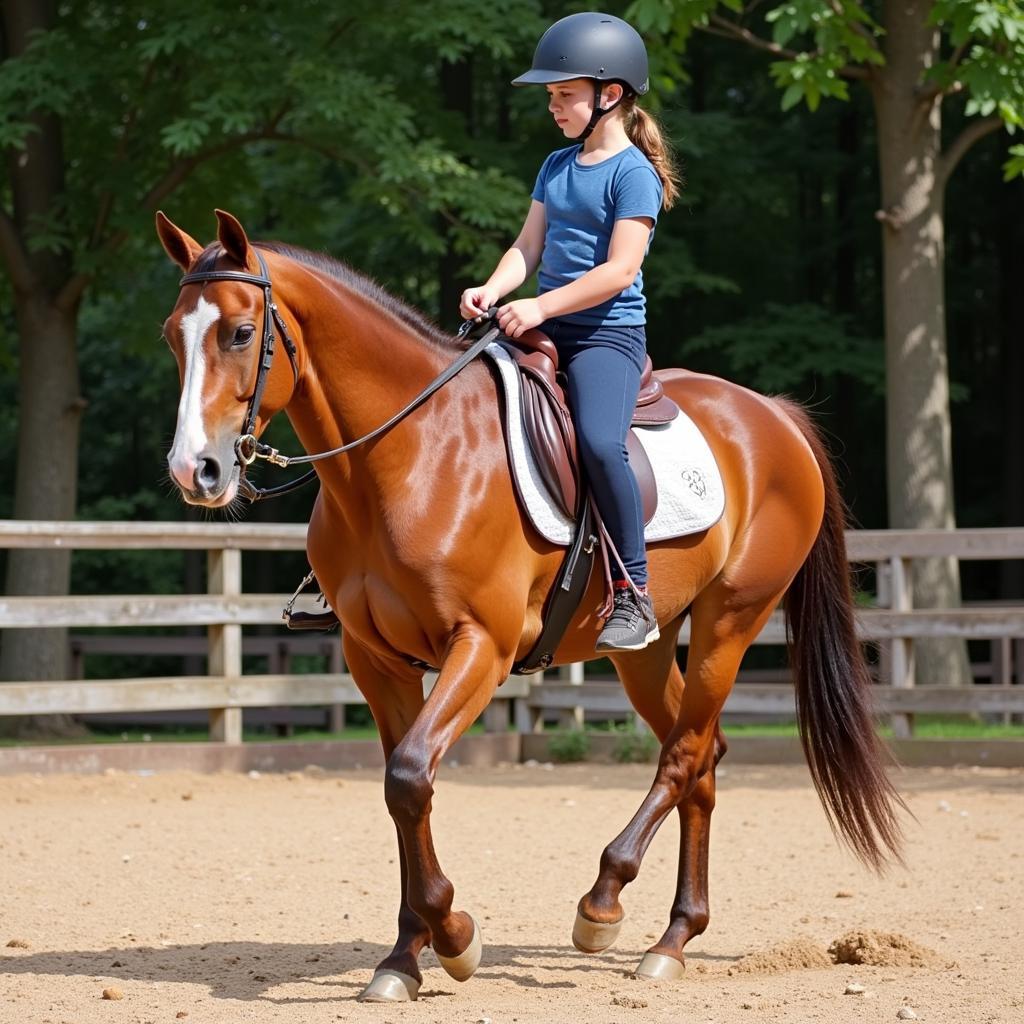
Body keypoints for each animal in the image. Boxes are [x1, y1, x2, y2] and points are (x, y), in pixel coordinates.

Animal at [155, 211, 901, 1003]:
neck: (409, 456)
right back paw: (674, 937)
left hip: (731, 620)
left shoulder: (481, 646)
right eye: (173, 335)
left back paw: (604, 904)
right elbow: (401, 794)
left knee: (684, 754)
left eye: (240, 332)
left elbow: (411, 775)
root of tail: (774, 416)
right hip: (644, 649)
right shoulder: (375, 660)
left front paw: (455, 938)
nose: (195, 471)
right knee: (703, 756)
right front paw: (404, 958)